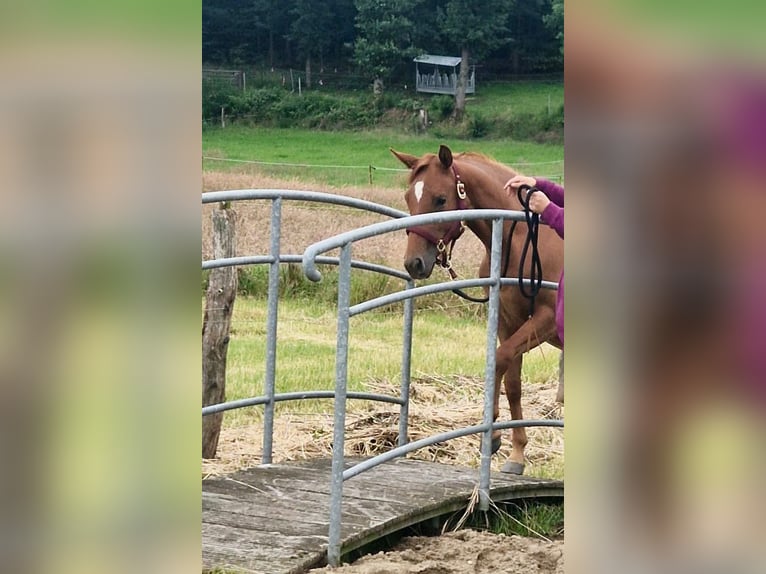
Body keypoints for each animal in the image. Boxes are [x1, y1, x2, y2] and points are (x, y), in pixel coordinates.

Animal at [396, 145, 564, 476]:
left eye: (440, 199)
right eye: (409, 197)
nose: (414, 263)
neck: (524, 238)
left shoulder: (547, 319)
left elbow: (499, 359)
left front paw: (494, 435)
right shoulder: (508, 322)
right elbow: (512, 380)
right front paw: (515, 453)